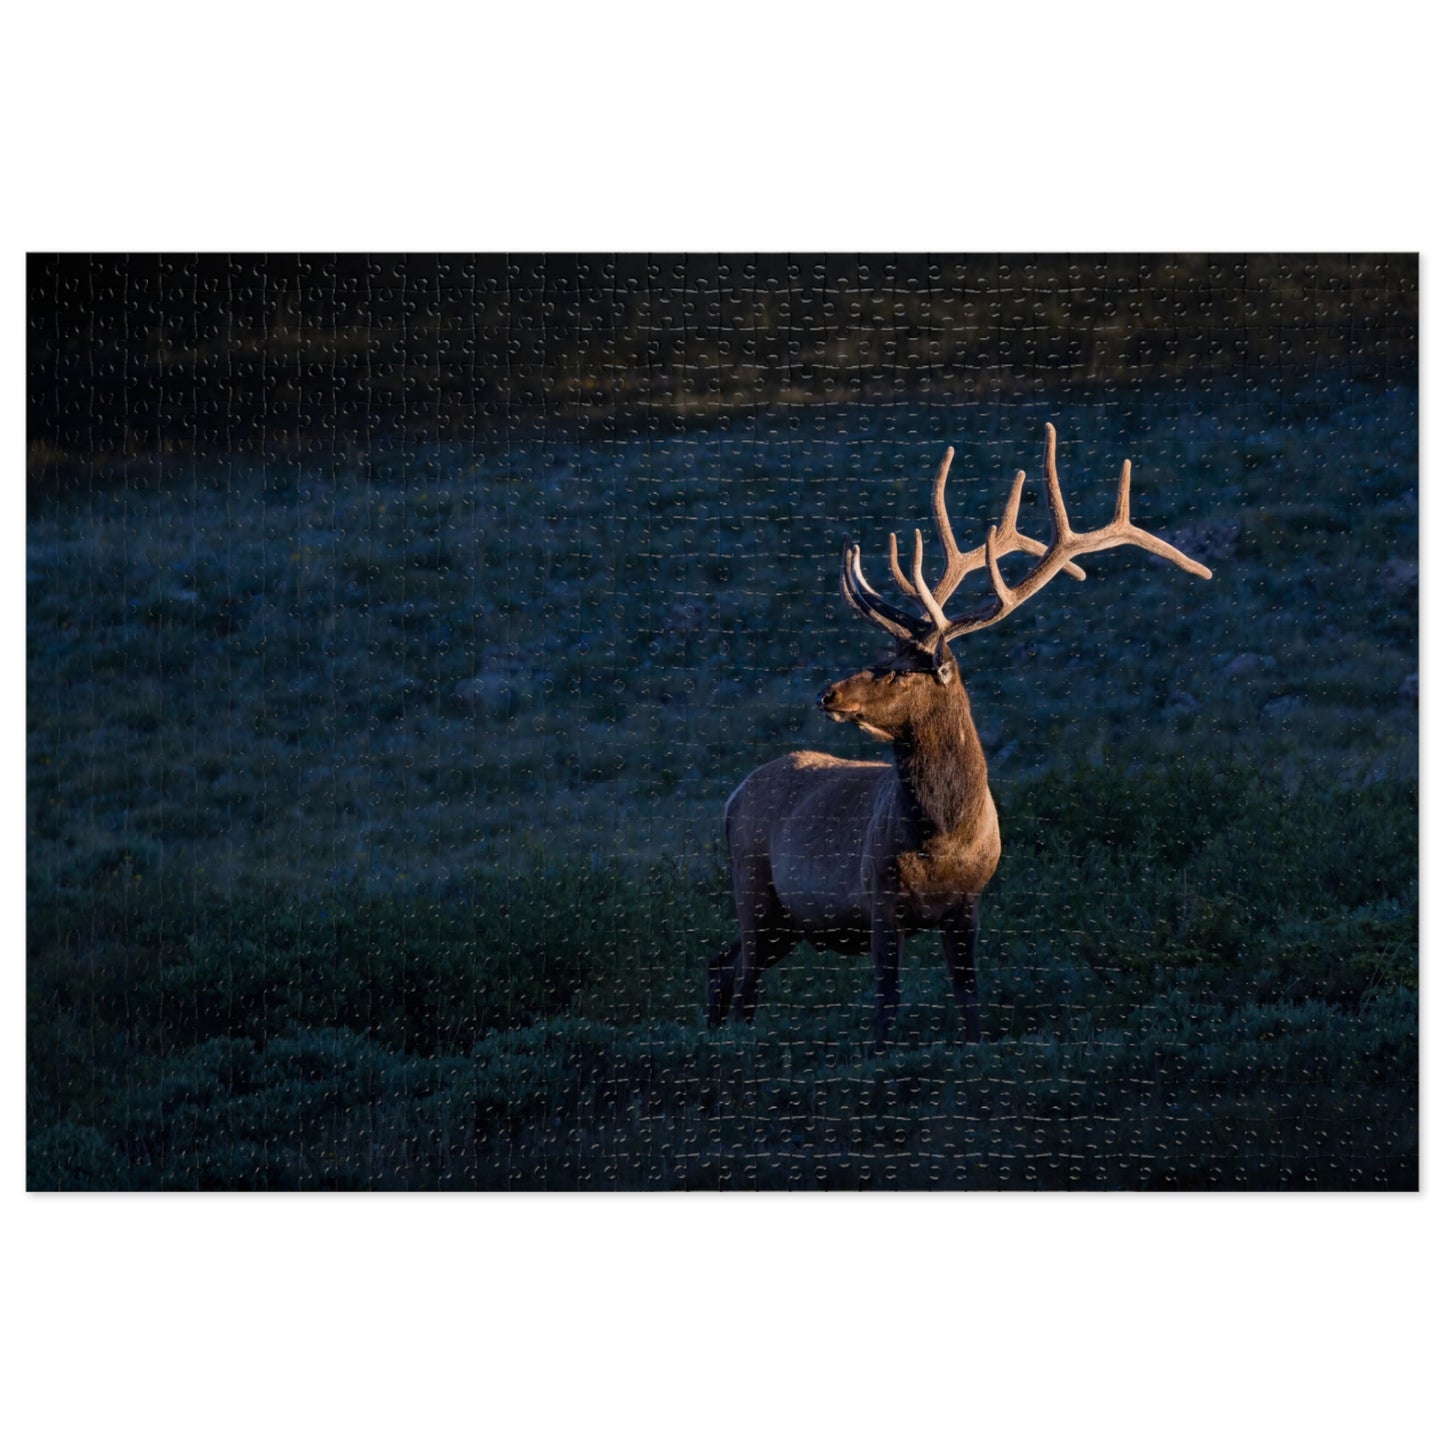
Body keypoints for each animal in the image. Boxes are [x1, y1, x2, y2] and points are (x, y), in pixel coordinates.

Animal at [705, 421, 1213, 1046]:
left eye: (899, 668)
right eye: (884, 654)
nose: (828, 694)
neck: (942, 840)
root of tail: (734, 795)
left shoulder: (968, 906)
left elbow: (970, 1001)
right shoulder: (878, 899)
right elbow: (887, 1006)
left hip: (784, 919)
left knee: (722, 965)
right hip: (754, 889)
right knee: (740, 979)